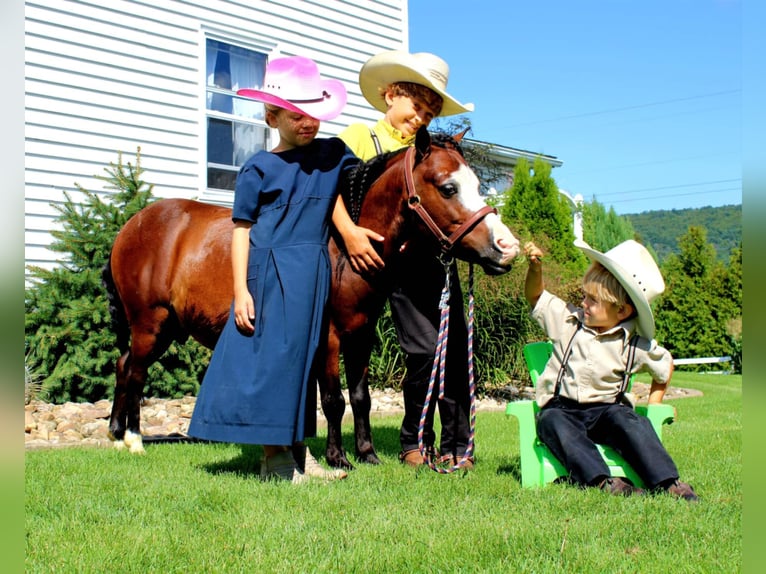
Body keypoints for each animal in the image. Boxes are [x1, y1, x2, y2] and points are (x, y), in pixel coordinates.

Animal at [103, 128, 520, 466]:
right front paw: (338, 458)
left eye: (478, 185)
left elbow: (361, 397)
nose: (507, 248)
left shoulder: (361, 335)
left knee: (124, 366)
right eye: (449, 187)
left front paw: (367, 454)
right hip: (150, 323)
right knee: (135, 372)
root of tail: (132, 226)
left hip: (167, 328)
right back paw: (134, 439)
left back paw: (116, 434)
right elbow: (334, 400)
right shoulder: (329, 337)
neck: (345, 248)